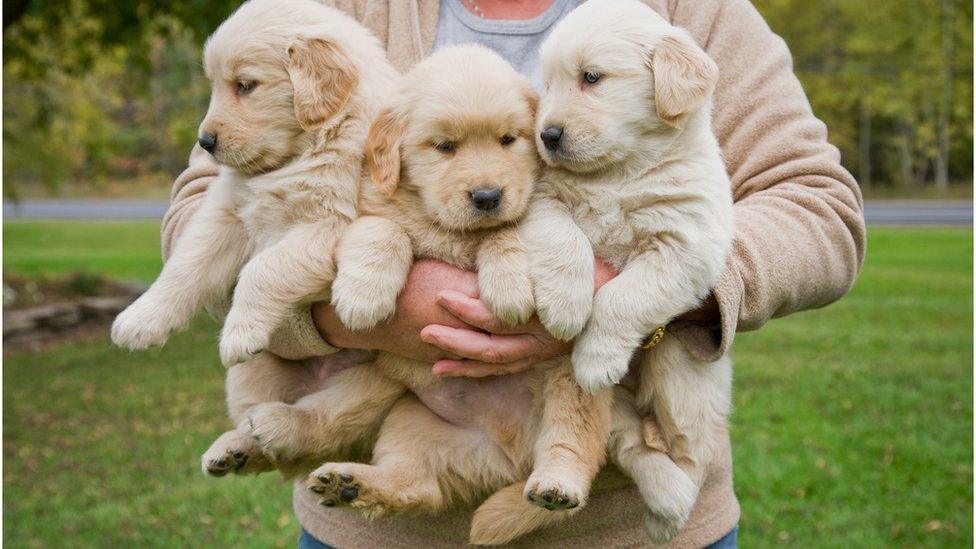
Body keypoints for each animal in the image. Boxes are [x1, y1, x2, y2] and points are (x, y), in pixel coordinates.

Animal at [111, 0, 400, 470]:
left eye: (245, 85)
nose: (205, 142)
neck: (302, 151)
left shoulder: (328, 226)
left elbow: (264, 267)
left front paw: (239, 331)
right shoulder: (227, 213)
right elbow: (185, 265)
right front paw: (141, 319)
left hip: (376, 381)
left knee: (323, 426)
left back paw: (281, 428)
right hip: (252, 374)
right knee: (265, 438)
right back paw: (235, 449)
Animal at [252, 46, 608, 544]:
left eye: (508, 140)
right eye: (444, 147)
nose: (487, 195)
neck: (448, 227)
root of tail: (509, 452)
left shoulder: (526, 206)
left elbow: (506, 232)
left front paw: (508, 282)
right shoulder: (365, 210)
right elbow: (384, 230)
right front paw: (363, 295)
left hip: (573, 379)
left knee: (571, 443)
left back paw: (557, 485)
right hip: (394, 395)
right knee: (402, 475)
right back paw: (336, 471)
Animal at [528, 0, 732, 540]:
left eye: (591, 78)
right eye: (547, 84)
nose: (546, 135)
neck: (618, 173)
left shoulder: (684, 245)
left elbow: (622, 298)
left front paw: (597, 354)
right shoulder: (541, 196)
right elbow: (564, 237)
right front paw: (566, 303)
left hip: (681, 377)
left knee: (692, 452)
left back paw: (673, 510)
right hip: (591, 396)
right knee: (628, 443)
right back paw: (658, 498)